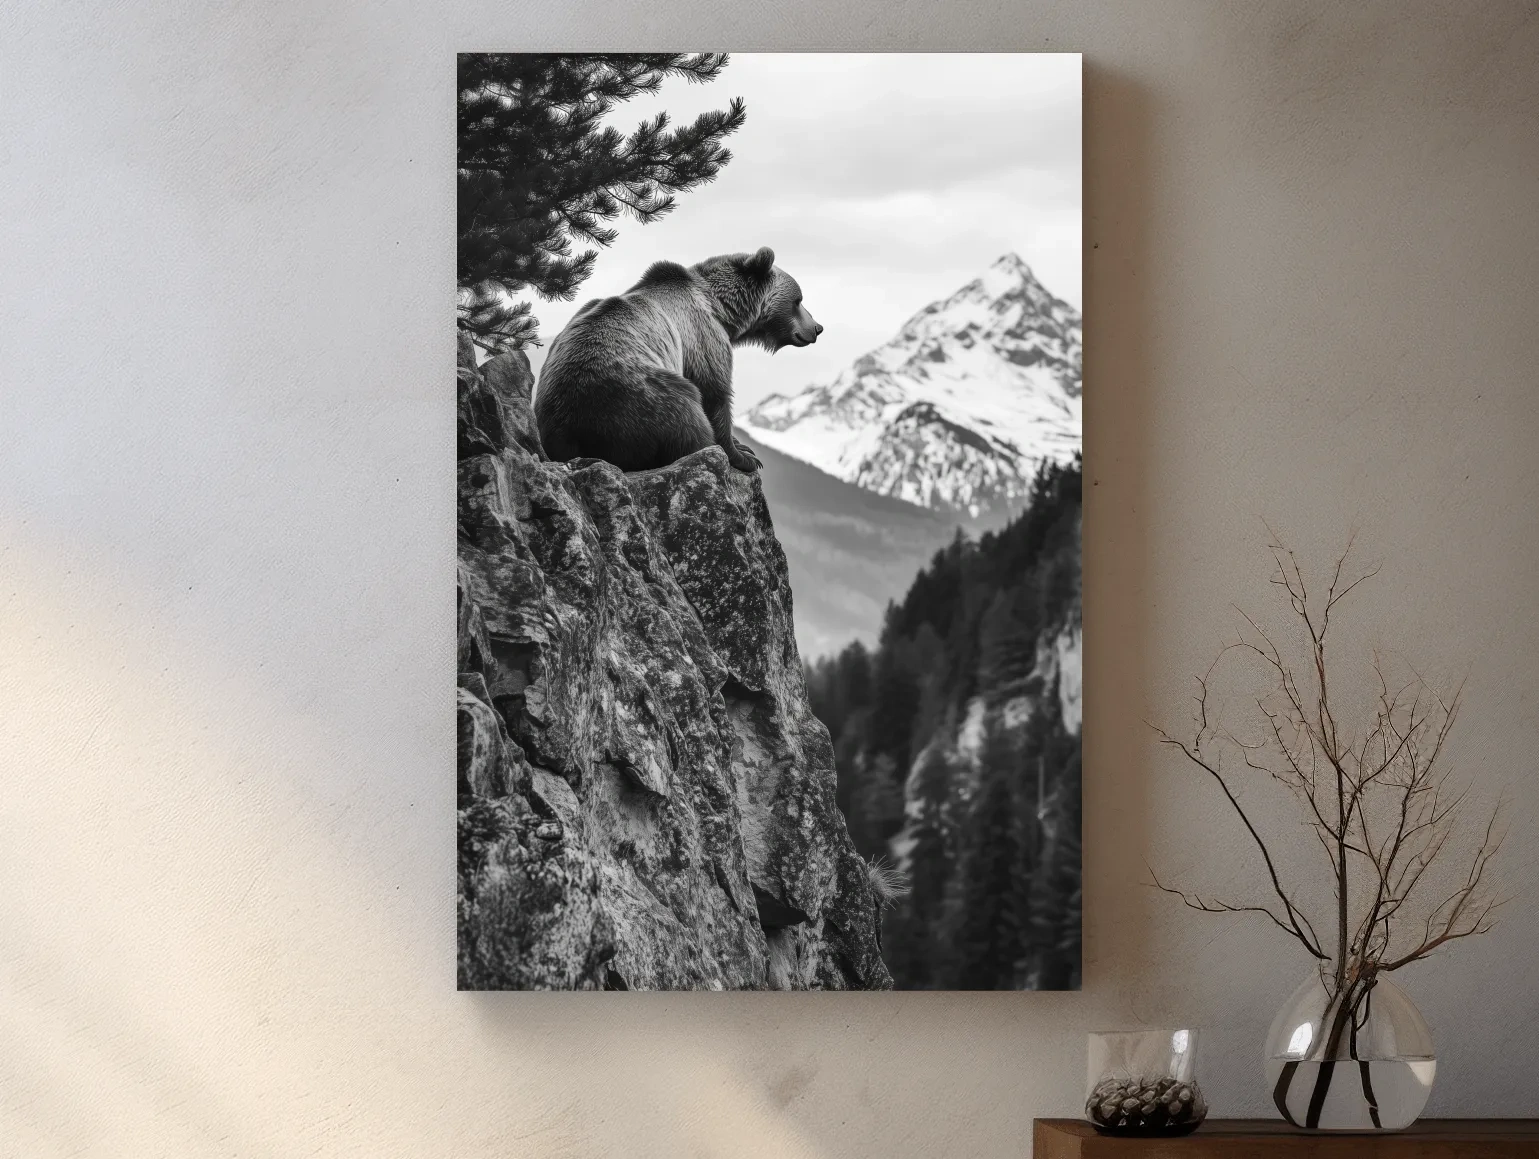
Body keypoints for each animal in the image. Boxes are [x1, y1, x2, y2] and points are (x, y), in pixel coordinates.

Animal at [533, 247, 822, 474]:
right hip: (639, 397)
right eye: (799, 300)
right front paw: (744, 456)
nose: (817, 328)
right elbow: (716, 392)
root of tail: (568, 434)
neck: (722, 310)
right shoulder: (702, 336)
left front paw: (743, 447)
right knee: (685, 416)